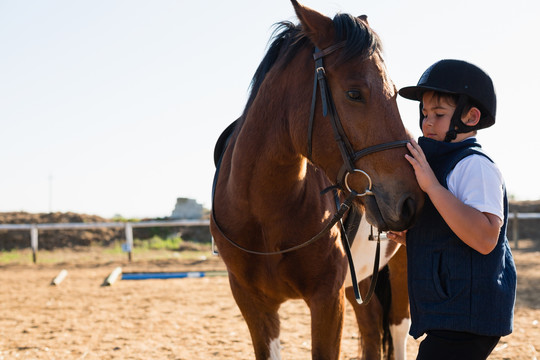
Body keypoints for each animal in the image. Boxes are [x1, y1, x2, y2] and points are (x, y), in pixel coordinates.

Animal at [209, 1, 424, 358]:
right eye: (354, 93)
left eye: (395, 94)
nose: (412, 200)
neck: (264, 214)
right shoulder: (253, 304)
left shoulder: (327, 300)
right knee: (371, 327)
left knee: (397, 328)